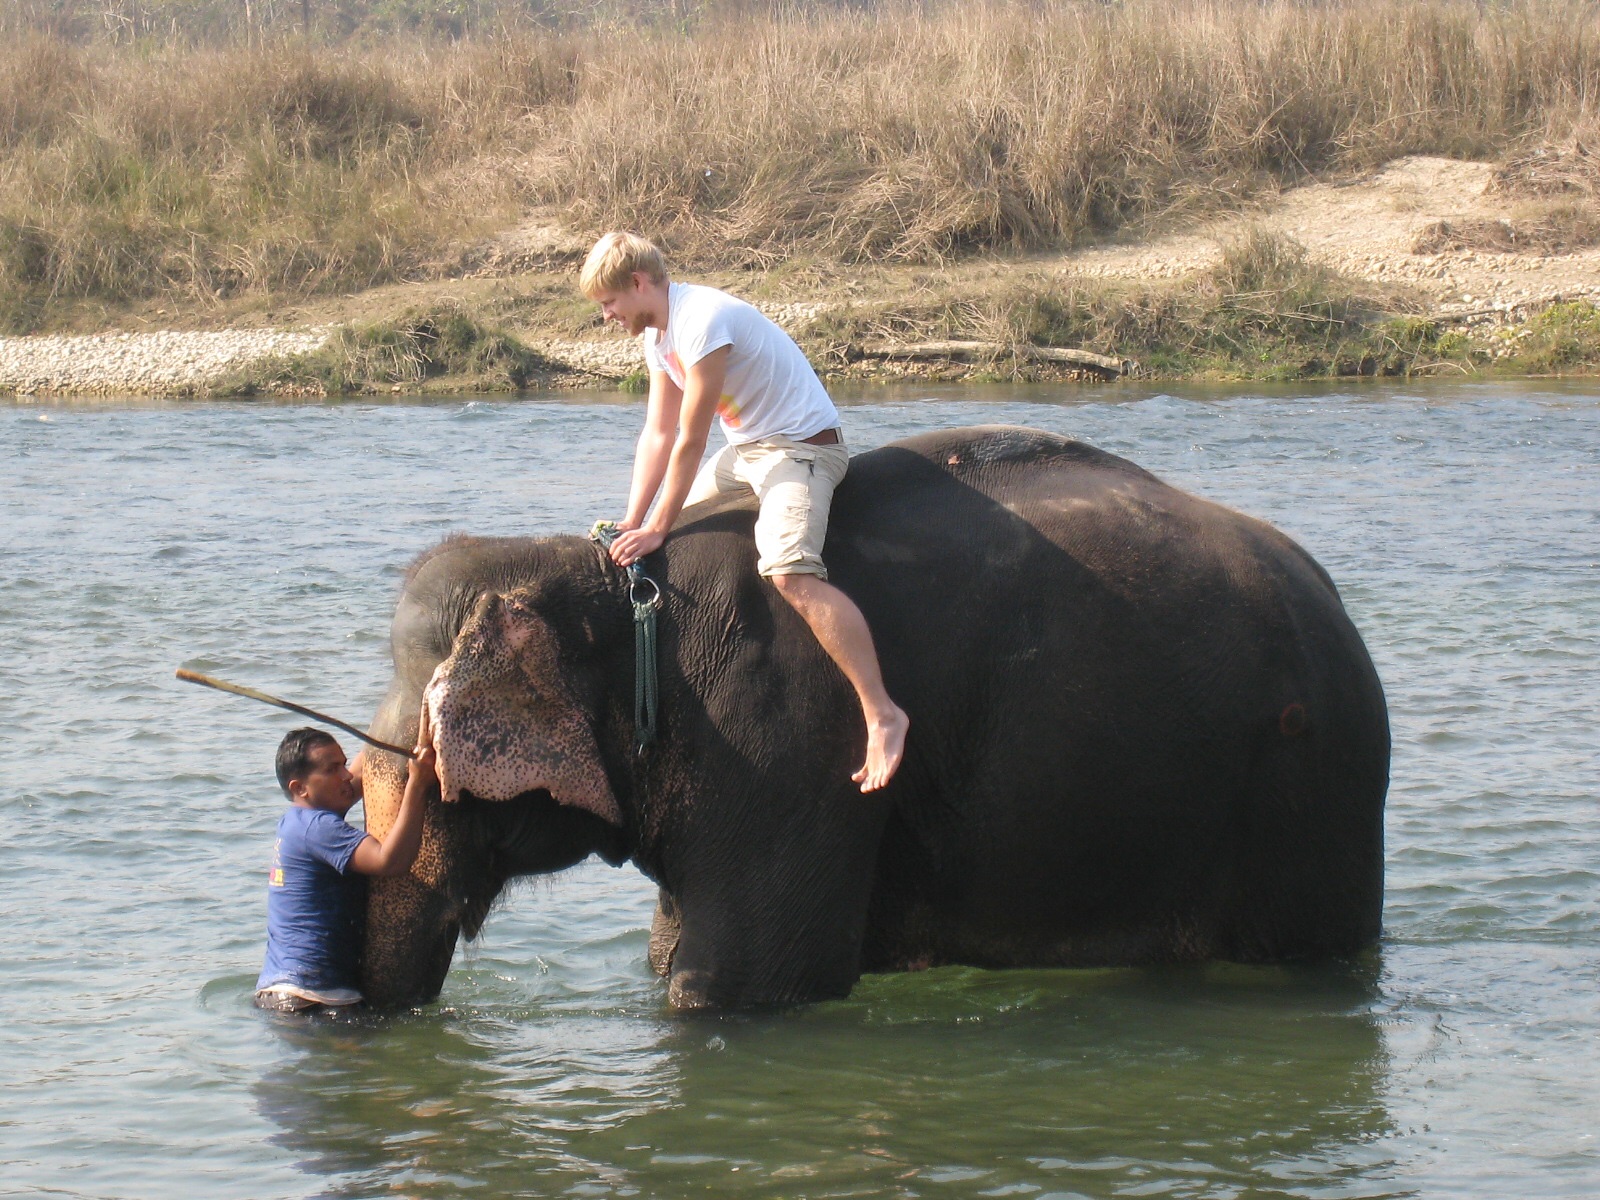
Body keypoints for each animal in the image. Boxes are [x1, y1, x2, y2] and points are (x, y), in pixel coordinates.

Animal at [353, 428, 1388, 1011]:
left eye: (416, 767)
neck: (610, 587)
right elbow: (668, 952)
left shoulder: (781, 736)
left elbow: (741, 984)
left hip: (1310, 793)